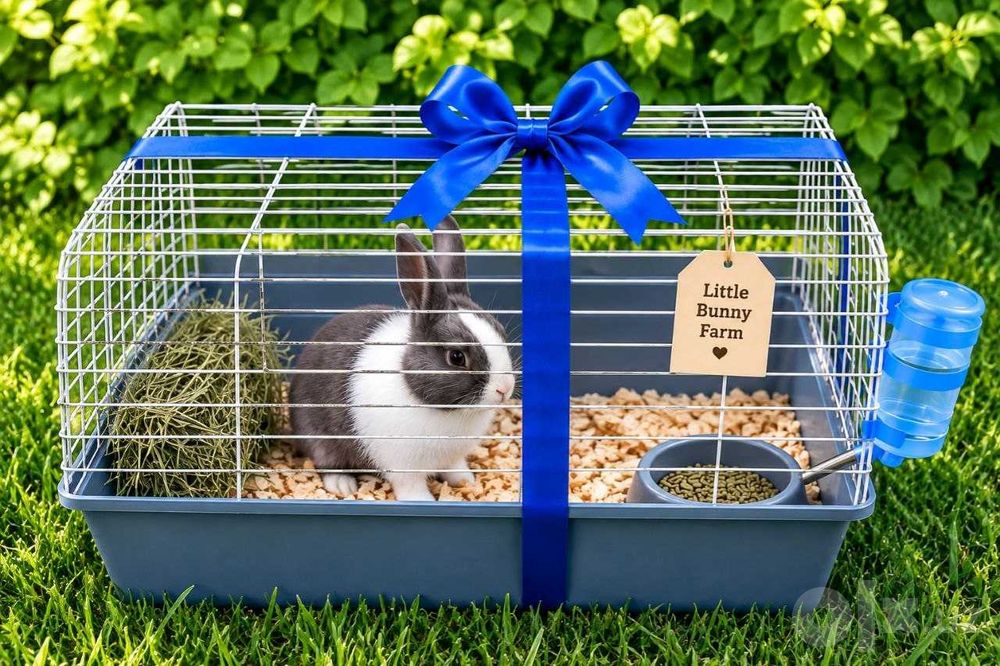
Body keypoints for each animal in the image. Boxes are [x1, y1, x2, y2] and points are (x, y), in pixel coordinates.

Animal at [289, 216, 516, 501]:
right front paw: (423, 501)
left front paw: (466, 481)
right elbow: (411, 485)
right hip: (319, 436)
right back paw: (342, 484)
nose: (505, 389)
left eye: (501, 331)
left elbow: (455, 467)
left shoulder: (452, 458)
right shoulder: (402, 465)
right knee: (326, 461)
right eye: (456, 357)